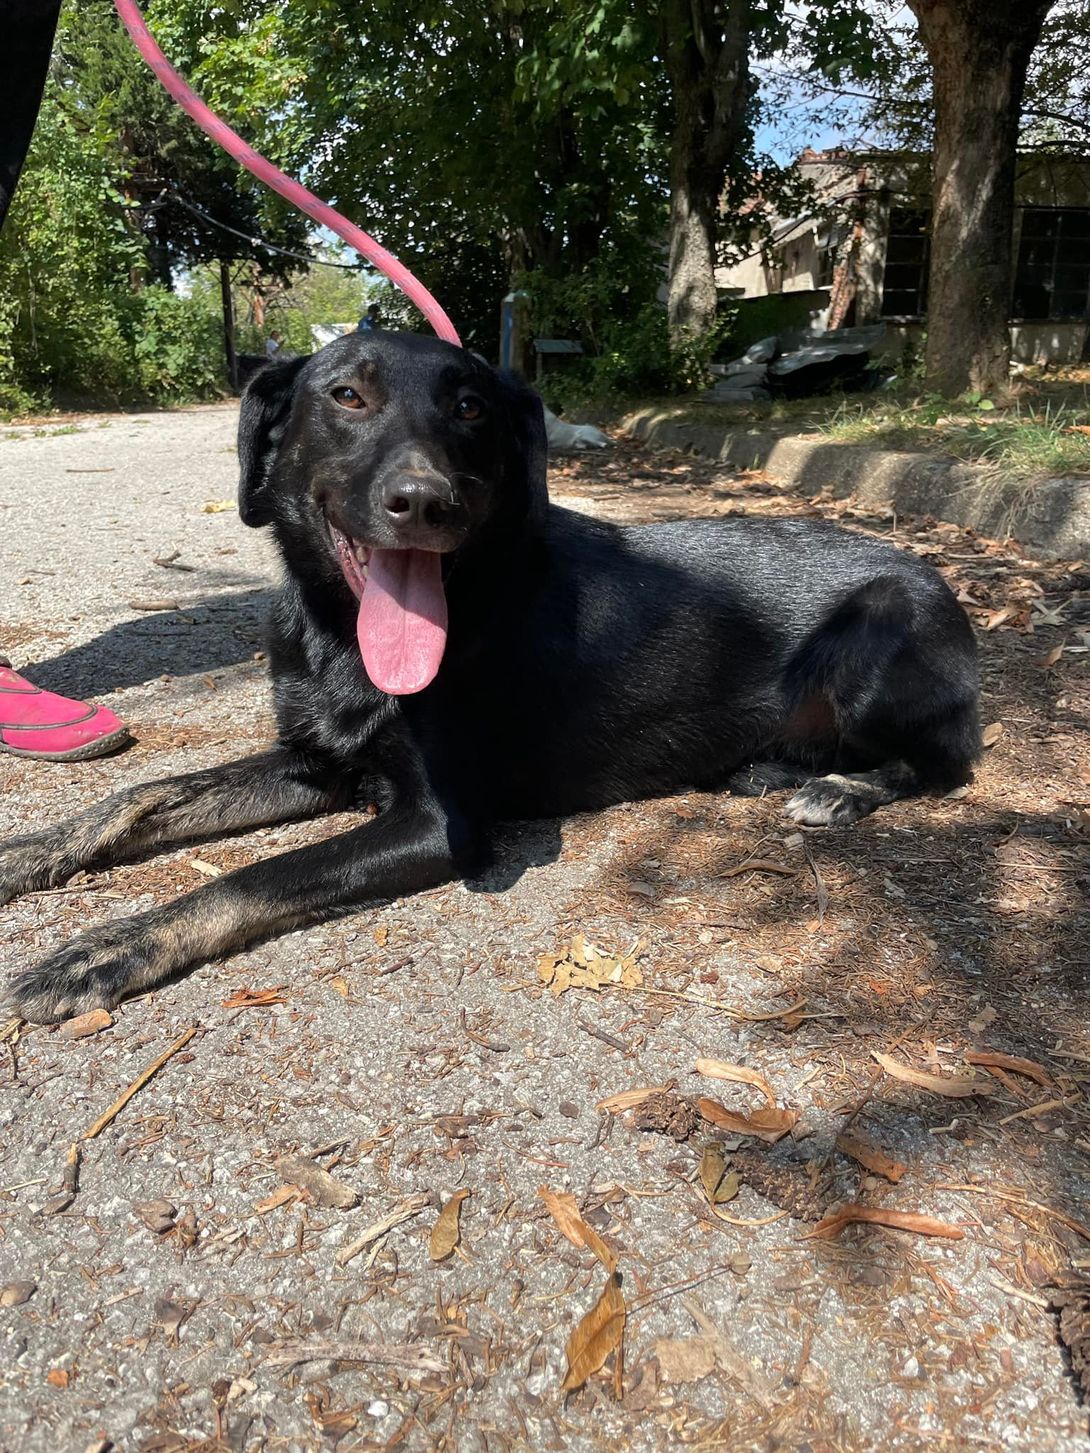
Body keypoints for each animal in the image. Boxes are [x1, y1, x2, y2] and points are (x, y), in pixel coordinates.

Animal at [0, 331, 981, 1023]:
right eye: (346, 394)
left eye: (471, 407)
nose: (425, 503)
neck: (342, 636)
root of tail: (939, 577)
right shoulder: (314, 763)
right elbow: (142, 795)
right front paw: (31, 851)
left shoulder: (439, 824)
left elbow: (251, 877)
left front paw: (108, 946)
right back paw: (772, 767)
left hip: (878, 630)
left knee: (944, 763)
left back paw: (842, 788)